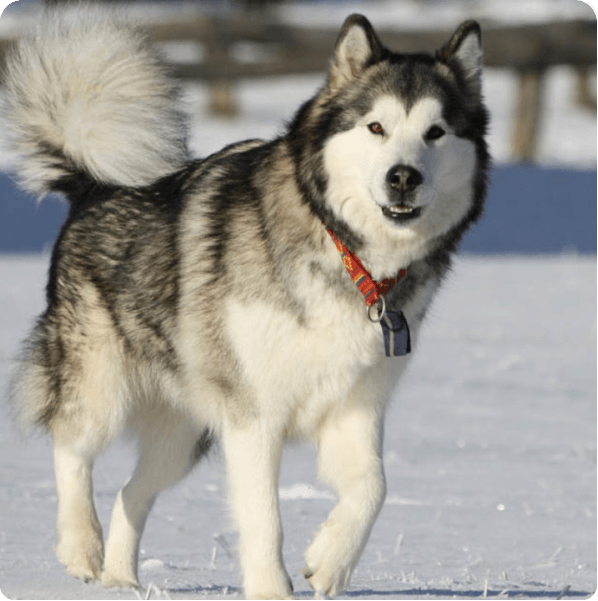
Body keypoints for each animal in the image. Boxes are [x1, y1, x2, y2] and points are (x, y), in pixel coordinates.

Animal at [4, 7, 490, 596]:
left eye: (435, 132)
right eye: (376, 127)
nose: (404, 177)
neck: (346, 252)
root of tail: (94, 186)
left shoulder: (355, 406)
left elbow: (374, 488)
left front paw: (330, 561)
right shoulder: (254, 416)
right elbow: (264, 518)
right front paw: (272, 589)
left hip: (184, 433)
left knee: (131, 492)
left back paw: (120, 578)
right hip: (101, 384)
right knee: (71, 446)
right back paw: (81, 546)